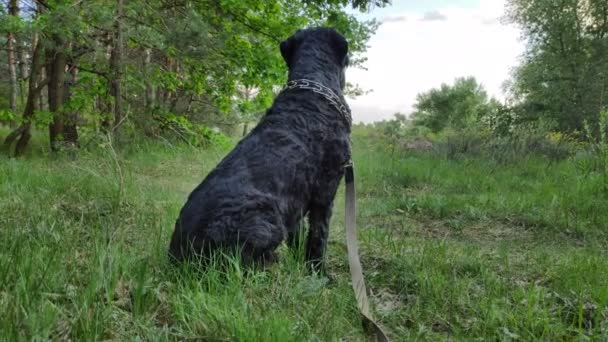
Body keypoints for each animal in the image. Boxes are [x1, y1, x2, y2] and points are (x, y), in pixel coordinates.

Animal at [170, 27, 352, 270]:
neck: (311, 88)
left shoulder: (294, 203)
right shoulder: (325, 193)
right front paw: (317, 272)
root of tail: (180, 256)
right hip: (265, 221)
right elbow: (318, 238)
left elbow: (298, 237)